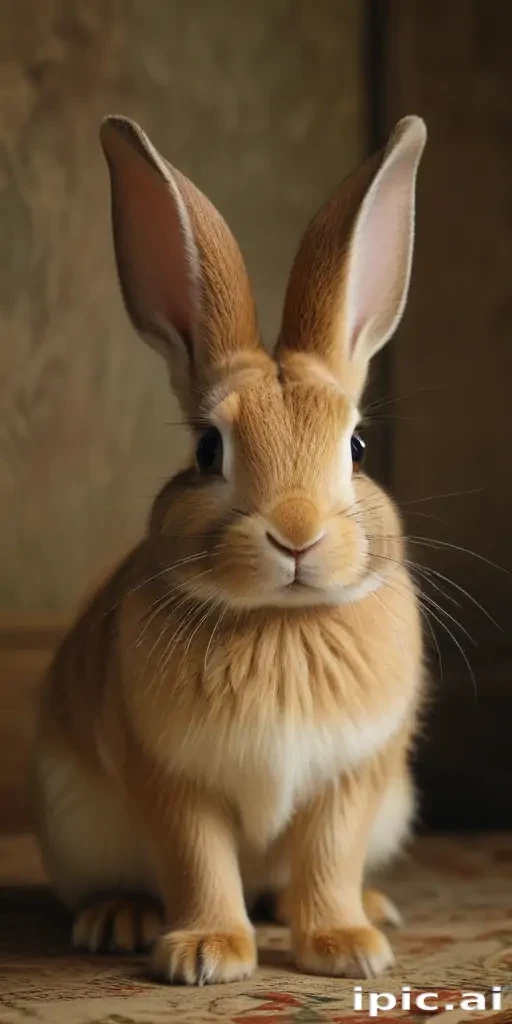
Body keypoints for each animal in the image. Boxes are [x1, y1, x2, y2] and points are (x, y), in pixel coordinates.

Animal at [32, 113, 427, 985]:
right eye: (209, 450)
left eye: (356, 446)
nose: (297, 534)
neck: (280, 621)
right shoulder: (173, 781)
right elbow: (197, 860)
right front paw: (208, 954)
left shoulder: (352, 780)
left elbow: (328, 859)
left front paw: (345, 948)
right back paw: (120, 921)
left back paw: (375, 909)